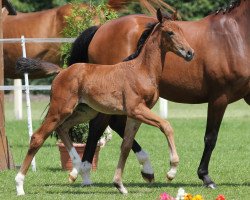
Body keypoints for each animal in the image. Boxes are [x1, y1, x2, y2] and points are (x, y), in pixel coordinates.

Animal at [15, 9, 194, 195]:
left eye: (181, 30)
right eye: (170, 32)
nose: (190, 53)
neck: (142, 70)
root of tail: (62, 71)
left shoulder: (135, 115)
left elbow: (126, 146)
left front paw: (119, 184)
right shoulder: (136, 109)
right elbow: (166, 126)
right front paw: (172, 170)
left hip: (84, 111)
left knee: (63, 128)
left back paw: (77, 168)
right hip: (60, 110)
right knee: (38, 137)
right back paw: (20, 185)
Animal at [67, 0, 250, 189]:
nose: (190, 53)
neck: (234, 35)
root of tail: (101, 28)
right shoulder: (219, 97)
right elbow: (210, 137)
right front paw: (205, 177)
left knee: (114, 126)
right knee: (97, 127)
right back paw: (86, 172)